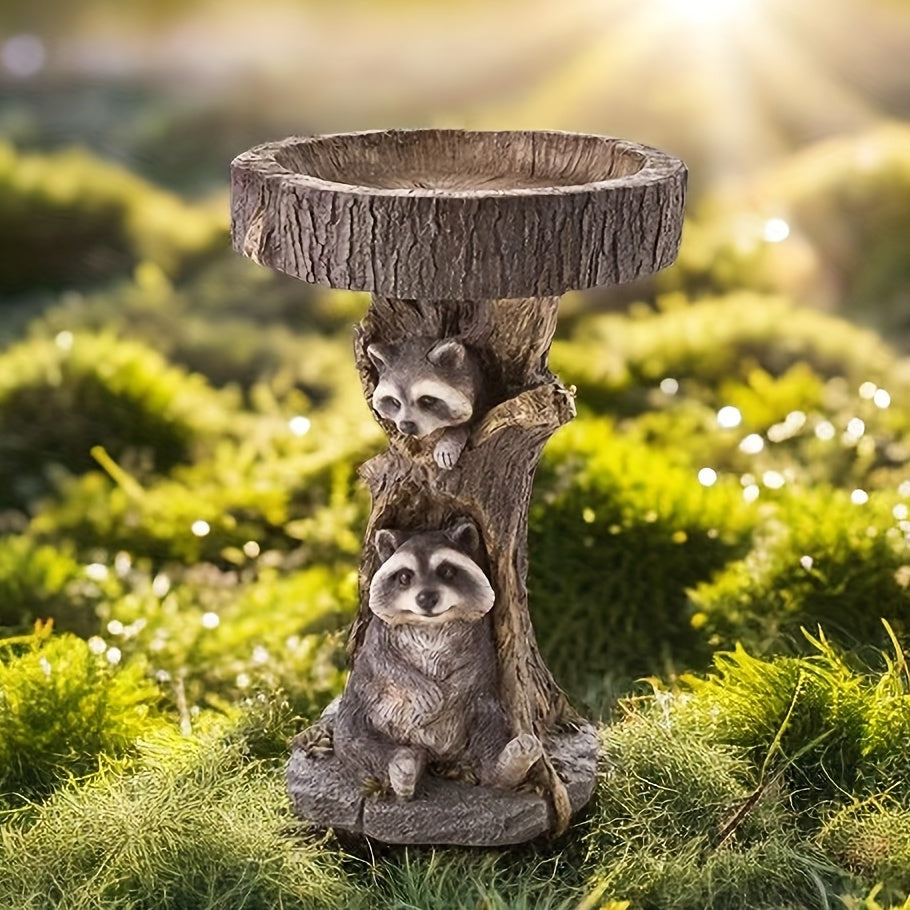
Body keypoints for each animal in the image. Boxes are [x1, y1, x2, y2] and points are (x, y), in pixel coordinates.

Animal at [333, 517, 542, 799]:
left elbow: (475, 669)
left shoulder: (479, 633)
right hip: (360, 708)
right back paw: (402, 765)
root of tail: (435, 753)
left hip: (481, 710)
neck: (430, 624)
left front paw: (451, 691)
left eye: (446, 571)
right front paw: (418, 686)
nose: (426, 598)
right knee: (352, 739)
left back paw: (505, 765)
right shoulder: (378, 633)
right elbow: (382, 663)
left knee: (489, 729)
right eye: (404, 576)